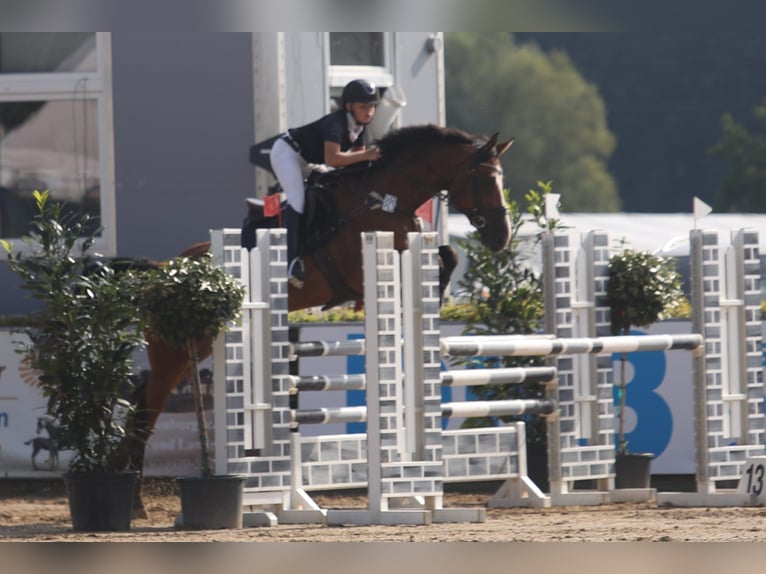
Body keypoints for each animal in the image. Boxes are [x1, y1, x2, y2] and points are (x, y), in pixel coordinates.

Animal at [118, 125, 516, 516]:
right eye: (484, 179)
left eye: (501, 178)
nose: (501, 238)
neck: (385, 197)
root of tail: (166, 271)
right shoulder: (362, 265)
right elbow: (439, 257)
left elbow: (448, 254)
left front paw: (438, 290)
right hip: (173, 352)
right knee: (146, 408)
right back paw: (133, 502)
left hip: (190, 350)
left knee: (141, 399)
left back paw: (132, 495)